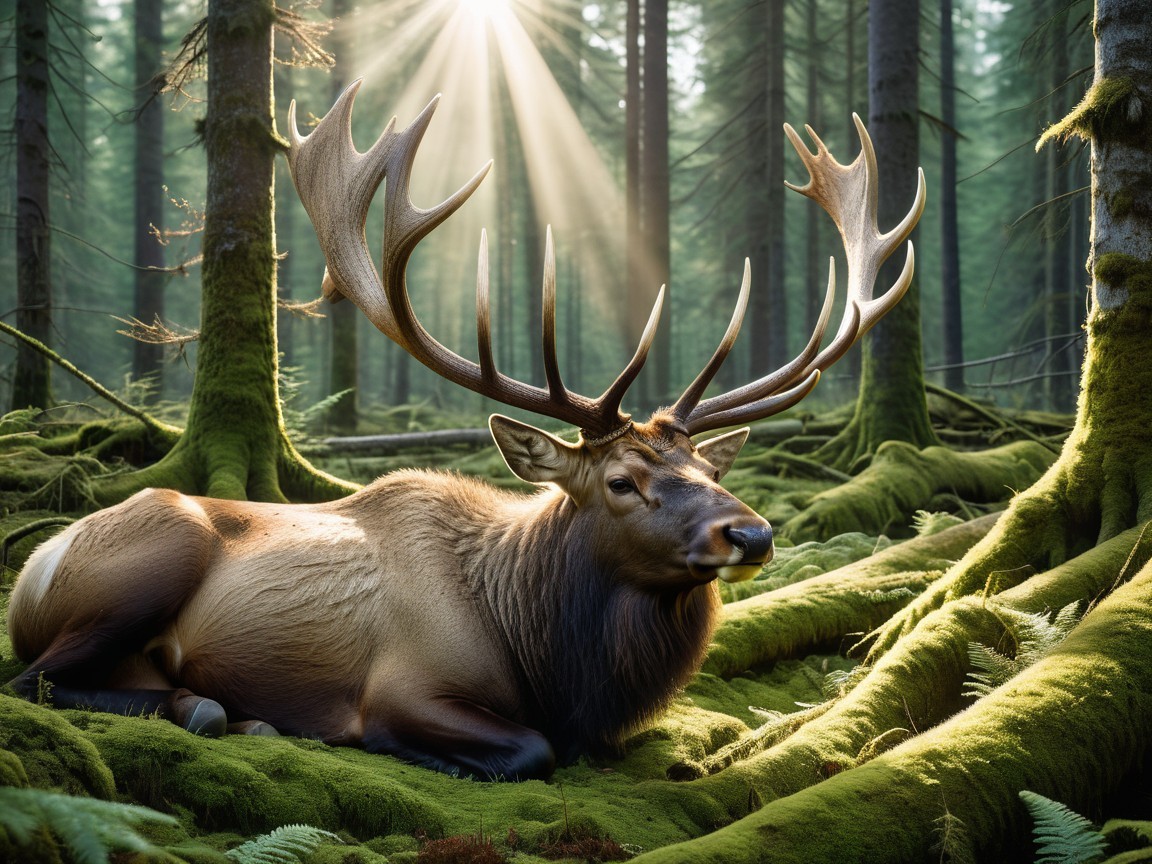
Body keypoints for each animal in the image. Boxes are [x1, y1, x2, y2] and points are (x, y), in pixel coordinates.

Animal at [5, 81, 924, 781]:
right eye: (621, 482)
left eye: (710, 469)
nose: (752, 533)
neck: (549, 658)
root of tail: (37, 563)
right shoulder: (404, 685)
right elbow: (530, 749)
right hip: (152, 554)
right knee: (35, 679)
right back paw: (215, 708)